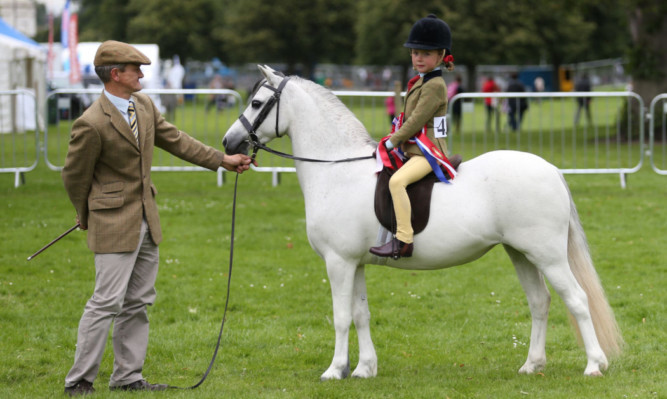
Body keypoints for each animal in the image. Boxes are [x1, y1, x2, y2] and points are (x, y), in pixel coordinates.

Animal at [222, 65, 624, 382]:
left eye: (256, 103)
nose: (229, 142)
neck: (337, 169)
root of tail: (551, 170)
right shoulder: (355, 264)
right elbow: (360, 314)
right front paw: (364, 369)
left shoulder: (338, 262)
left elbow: (340, 317)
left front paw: (334, 370)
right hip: (520, 253)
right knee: (540, 302)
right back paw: (532, 365)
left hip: (548, 255)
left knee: (577, 299)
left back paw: (594, 365)